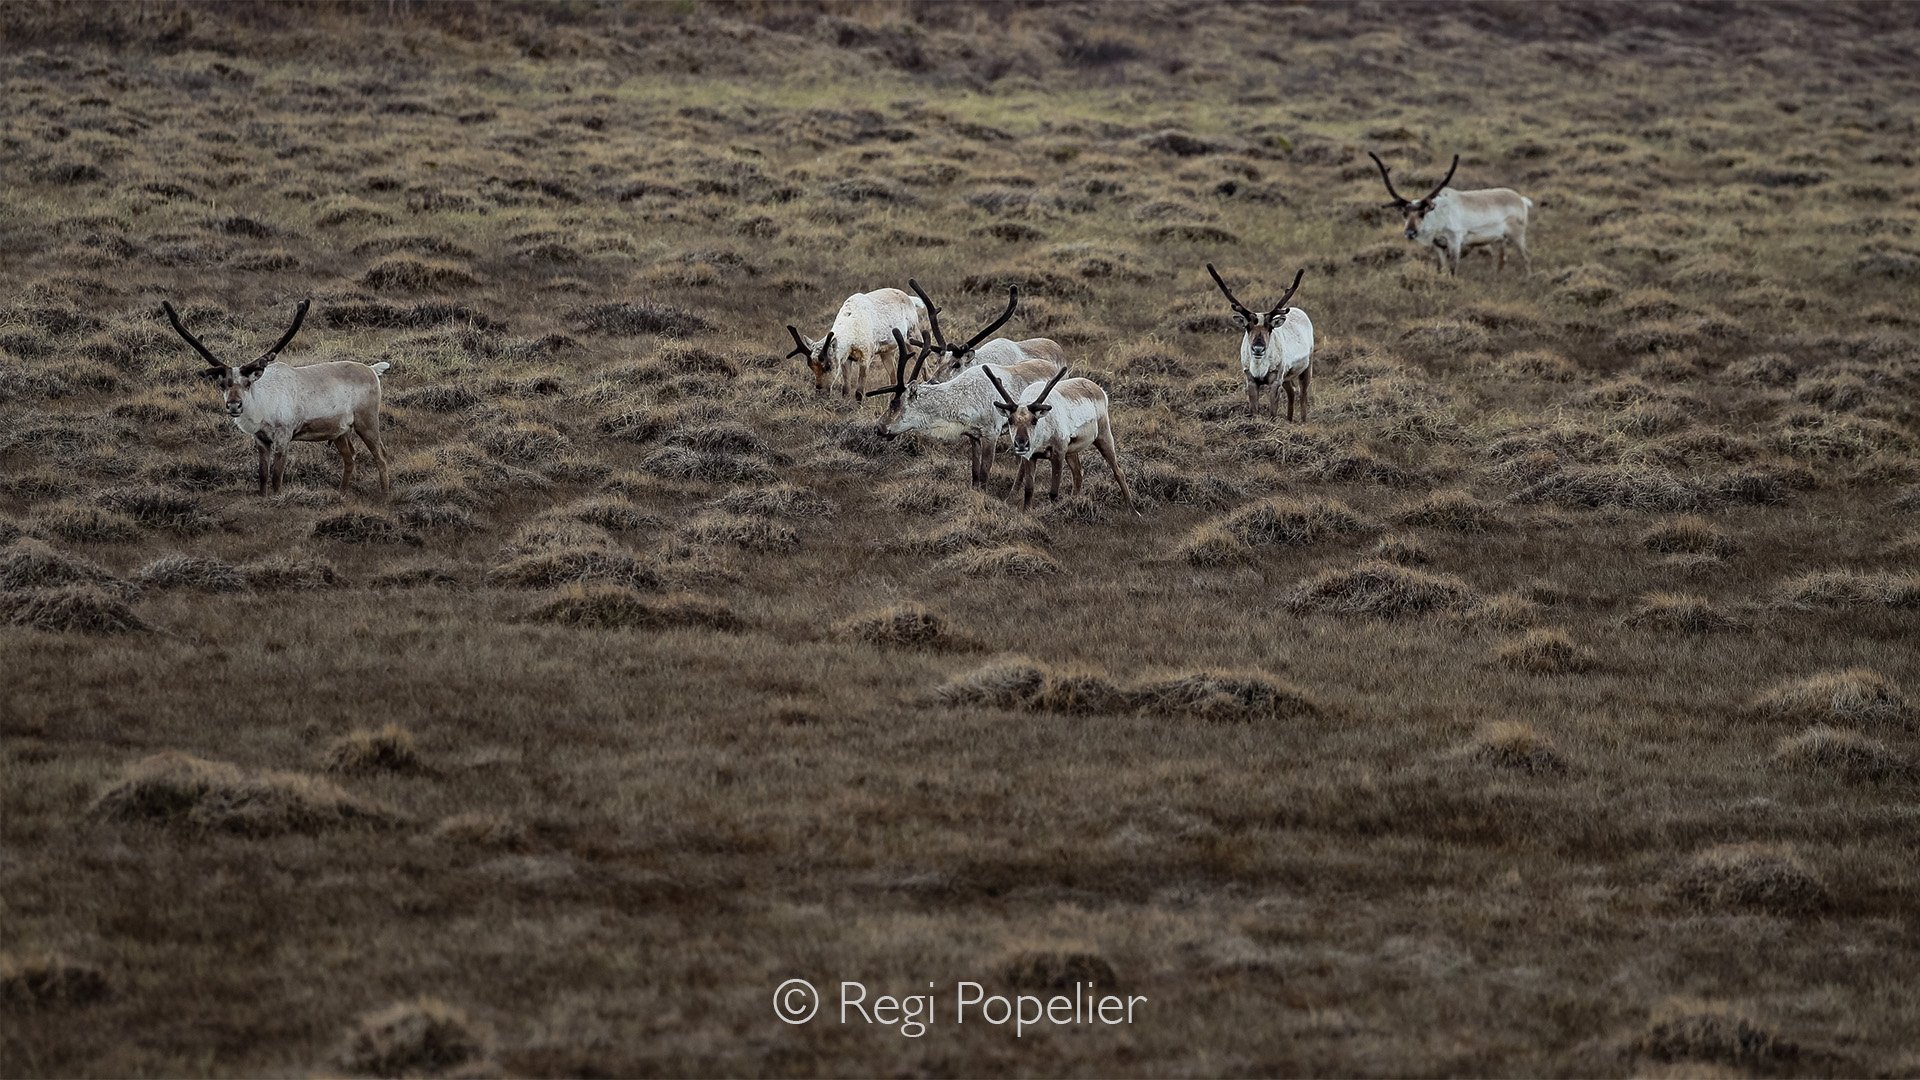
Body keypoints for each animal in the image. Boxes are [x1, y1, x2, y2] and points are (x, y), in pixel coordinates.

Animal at [162, 299, 391, 497]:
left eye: (247, 383)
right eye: (222, 384)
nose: (234, 405)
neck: (262, 409)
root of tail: (373, 370)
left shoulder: (284, 435)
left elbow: (276, 477)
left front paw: (277, 498)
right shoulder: (261, 439)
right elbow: (263, 475)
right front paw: (263, 497)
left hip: (367, 419)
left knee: (381, 455)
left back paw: (384, 495)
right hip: (339, 431)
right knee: (350, 456)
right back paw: (341, 494)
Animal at [785, 287, 929, 400]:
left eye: (828, 366)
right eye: (810, 366)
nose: (820, 393)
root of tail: (910, 299)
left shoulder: (866, 357)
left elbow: (859, 392)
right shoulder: (845, 359)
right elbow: (845, 389)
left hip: (913, 334)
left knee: (925, 366)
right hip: (887, 351)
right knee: (893, 377)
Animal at [985, 365, 1136, 514]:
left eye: (1034, 420)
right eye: (1010, 420)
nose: (1021, 444)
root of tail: (1099, 389)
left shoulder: (1058, 452)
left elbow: (1053, 492)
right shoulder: (1030, 457)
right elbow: (1029, 489)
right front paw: (1026, 512)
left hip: (1103, 435)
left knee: (1118, 471)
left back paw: (1132, 509)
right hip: (1072, 450)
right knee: (1078, 473)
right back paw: (1075, 502)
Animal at [1206, 263, 1314, 422]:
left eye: (1270, 327)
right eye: (1247, 326)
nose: (1258, 348)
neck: (1259, 368)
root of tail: (1300, 312)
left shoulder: (1275, 380)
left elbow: (1272, 413)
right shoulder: (1251, 379)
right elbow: (1254, 411)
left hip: (1307, 367)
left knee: (1303, 394)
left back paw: (1303, 420)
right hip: (1287, 375)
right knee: (1292, 391)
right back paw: (1289, 419)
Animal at [1369, 152, 1533, 276]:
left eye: (1422, 212)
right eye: (1404, 213)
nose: (1409, 232)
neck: (1438, 219)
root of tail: (1521, 200)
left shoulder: (1455, 240)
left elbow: (1453, 268)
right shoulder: (1438, 245)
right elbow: (1440, 268)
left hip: (1517, 234)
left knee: (1526, 256)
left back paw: (1528, 278)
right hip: (1498, 239)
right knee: (1502, 259)